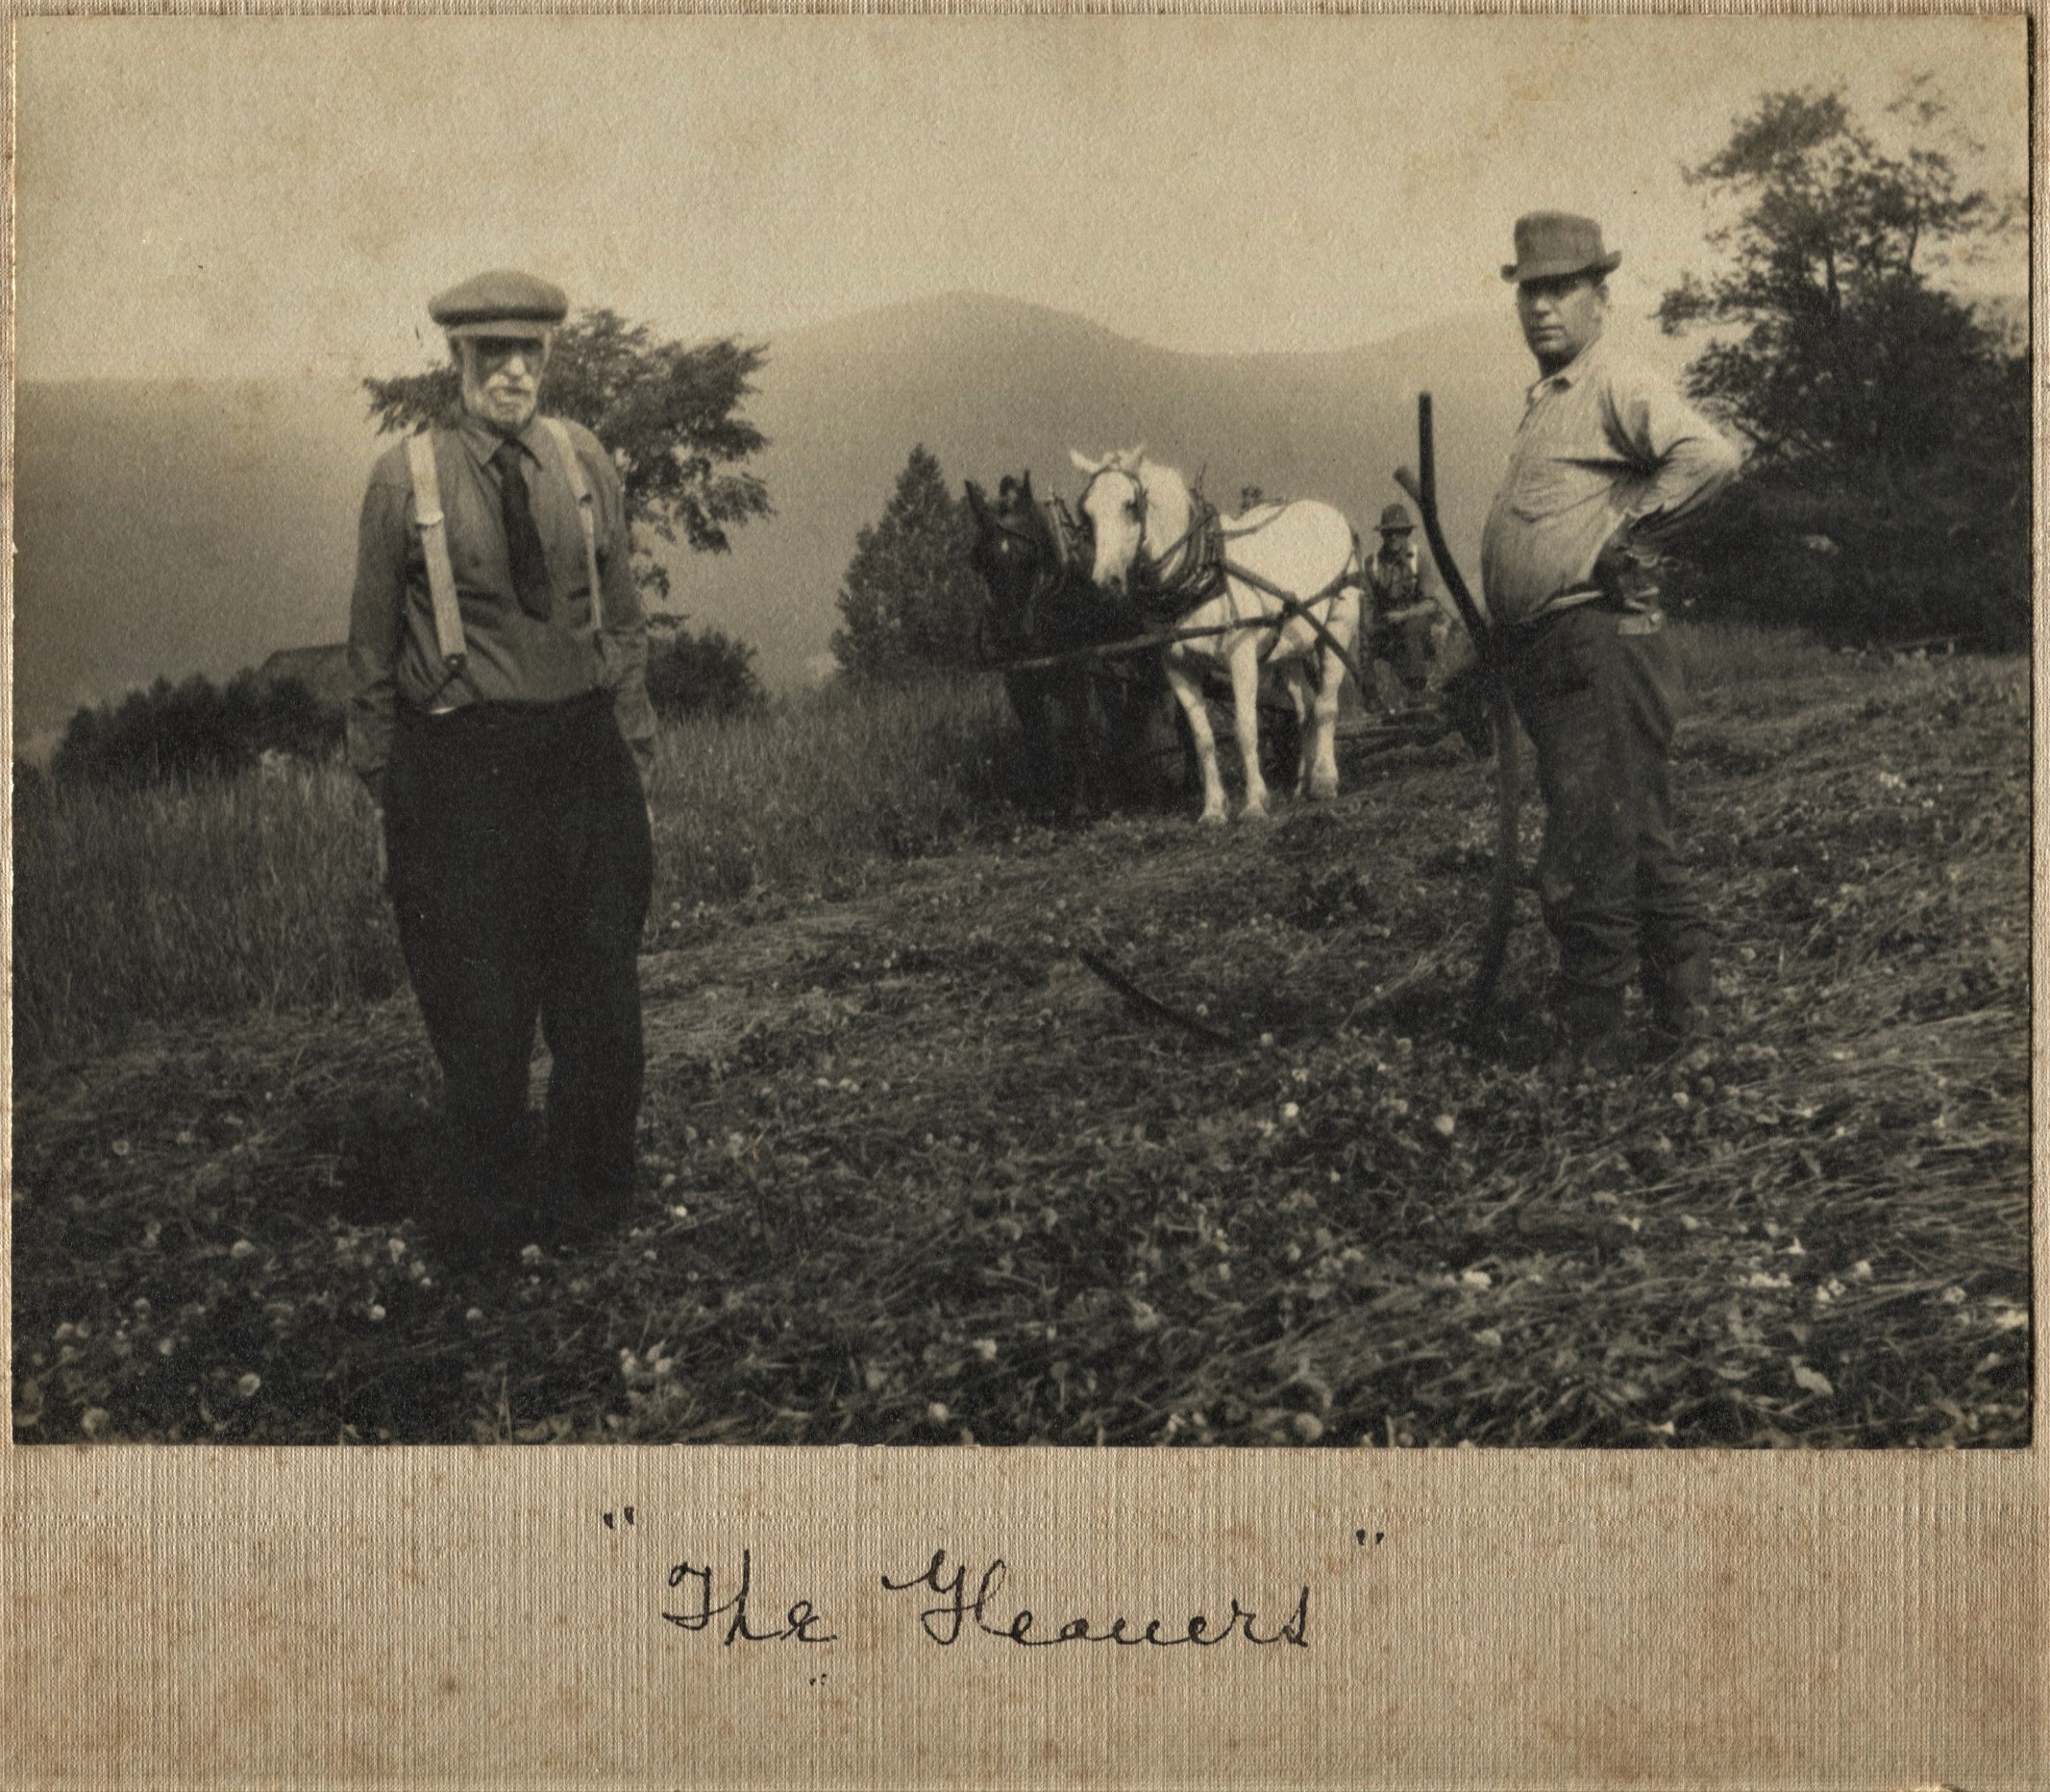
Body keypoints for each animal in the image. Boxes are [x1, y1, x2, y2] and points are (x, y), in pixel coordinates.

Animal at [964, 472, 1172, 819]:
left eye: (1030, 558)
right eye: (982, 561)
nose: (1013, 635)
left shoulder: (1075, 673)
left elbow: (1076, 733)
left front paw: (1079, 804)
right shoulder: (1019, 681)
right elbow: (1038, 739)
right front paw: (1045, 802)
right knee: (1123, 718)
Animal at [1070, 447, 1361, 824]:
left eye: (1130, 505)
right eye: (1086, 512)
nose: (1106, 583)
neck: (1200, 571)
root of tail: (1331, 512)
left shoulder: (1241, 655)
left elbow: (1245, 729)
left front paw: (1254, 804)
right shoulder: (1177, 667)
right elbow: (1203, 738)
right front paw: (1212, 810)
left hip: (1339, 622)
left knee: (1326, 704)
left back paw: (1324, 780)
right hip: (1290, 645)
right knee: (1306, 707)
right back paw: (1302, 783)